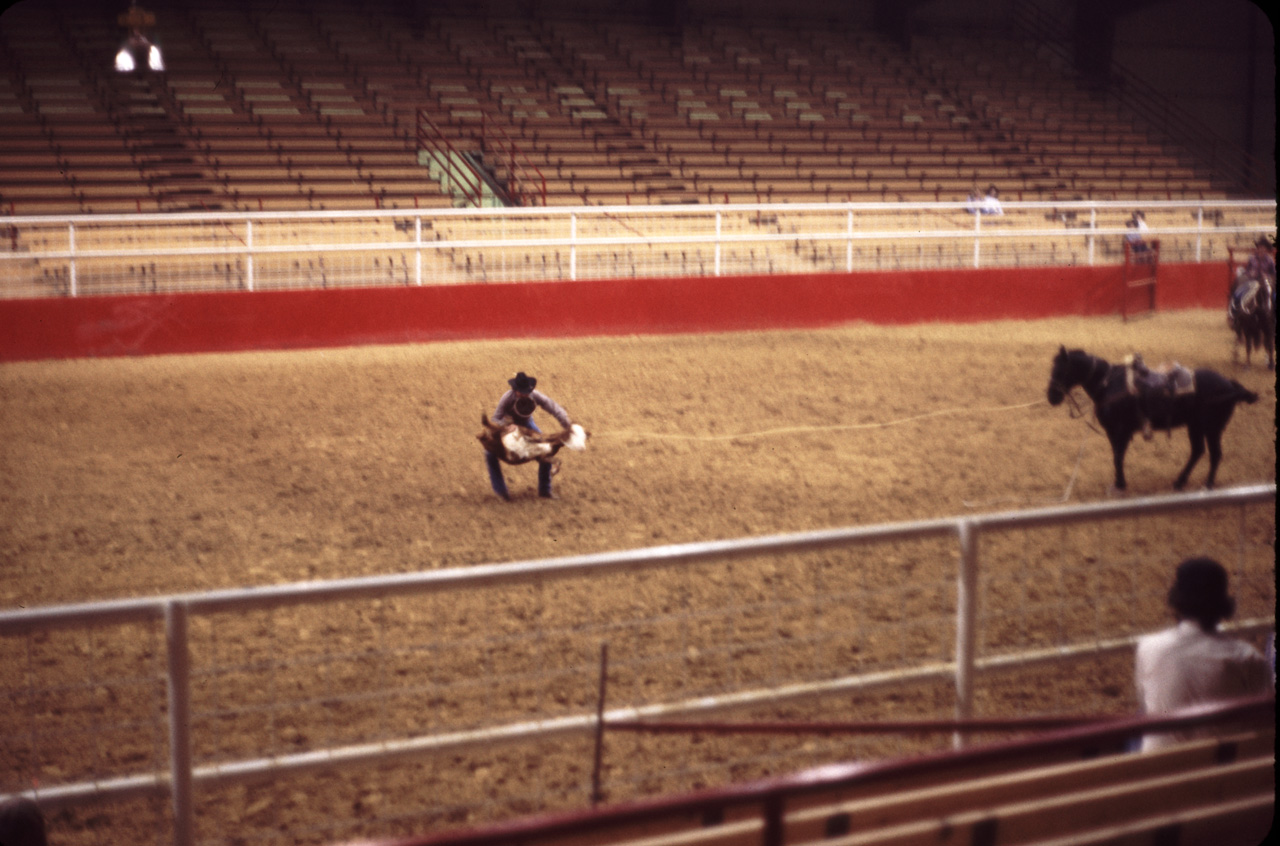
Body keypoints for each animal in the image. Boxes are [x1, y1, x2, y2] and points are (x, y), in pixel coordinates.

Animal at [1049, 345, 1259, 491]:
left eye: (1059, 371)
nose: (1051, 397)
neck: (1109, 384)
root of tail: (1230, 385)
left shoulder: (1121, 431)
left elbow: (1118, 457)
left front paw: (1120, 484)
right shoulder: (1113, 432)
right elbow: (1116, 456)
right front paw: (1118, 482)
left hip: (1212, 428)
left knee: (1215, 454)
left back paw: (1207, 485)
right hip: (1196, 427)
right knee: (1198, 451)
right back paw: (1179, 482)